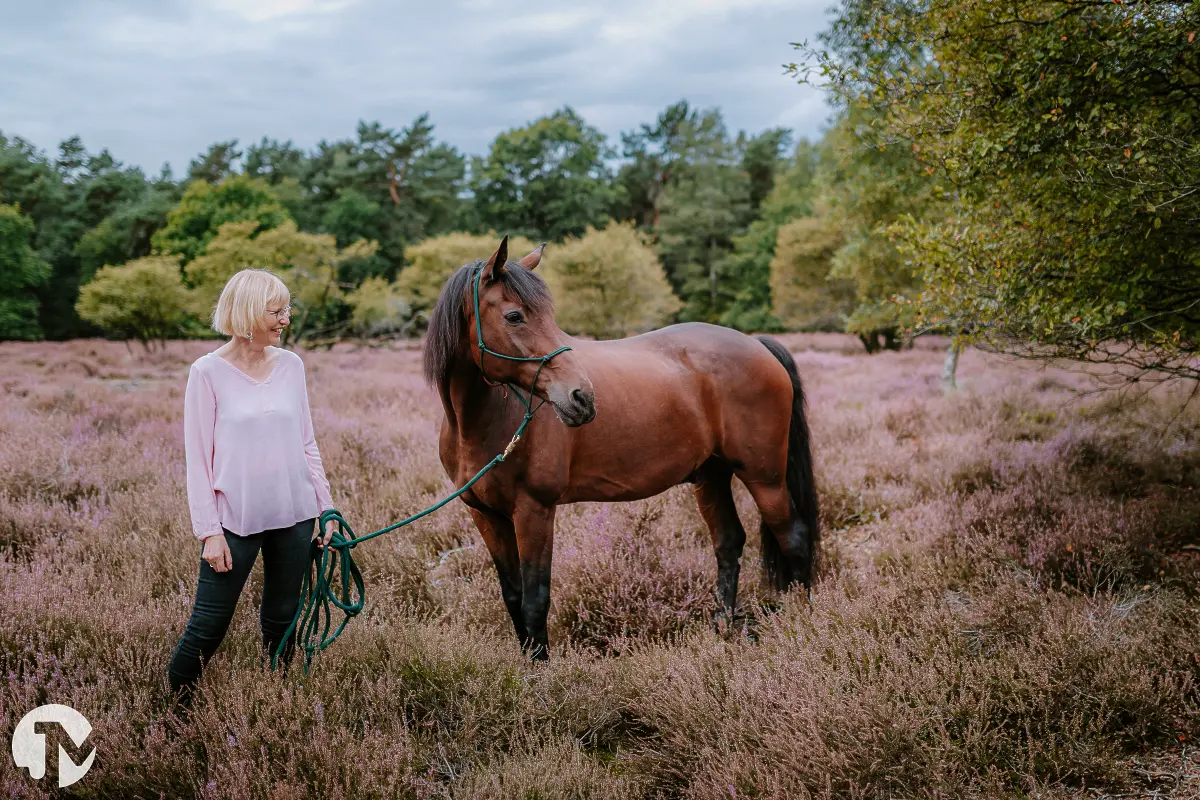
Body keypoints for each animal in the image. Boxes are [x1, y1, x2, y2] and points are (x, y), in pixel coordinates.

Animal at [422, 235, 819, 659]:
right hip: (711, 477)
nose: (582, 397)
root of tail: (756, 344)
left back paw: (802, 622)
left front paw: (540, 672)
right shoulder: (486, 516)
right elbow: (513, 598)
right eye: (514, 316)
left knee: (794, 538)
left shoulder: (534, 510)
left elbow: (535, 600)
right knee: (729, 543)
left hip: (765, 479)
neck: (485, 423)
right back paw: (721, 629)